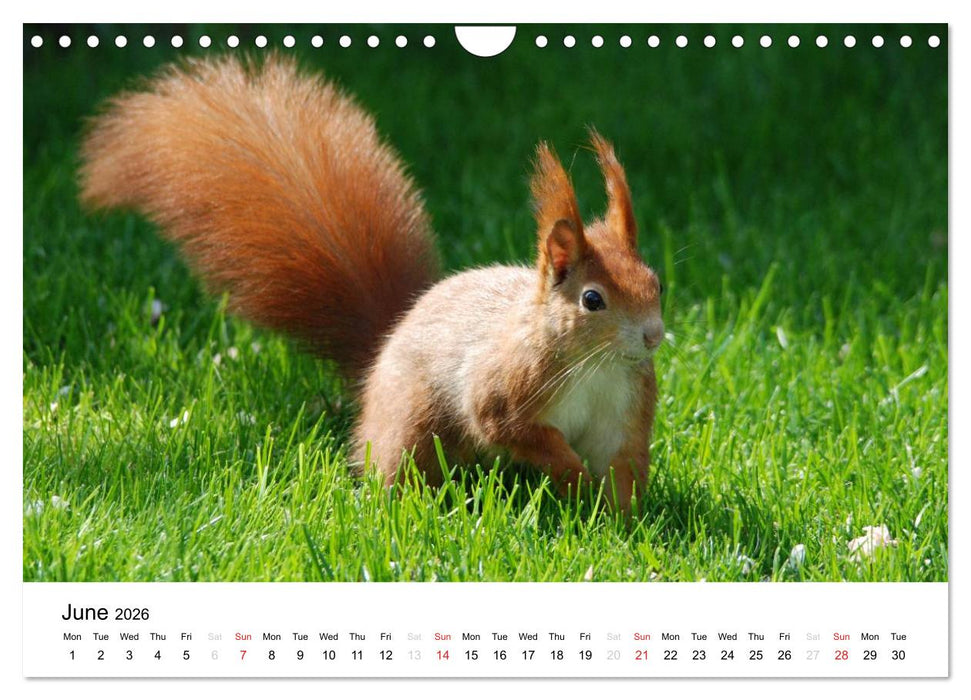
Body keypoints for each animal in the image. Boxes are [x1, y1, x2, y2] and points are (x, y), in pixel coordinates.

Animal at [79, 55, 664, 511]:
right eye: (592, 300)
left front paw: (619, 527)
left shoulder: (624, 410)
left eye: (656, 282)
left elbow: (621, 469)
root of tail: (381, 350)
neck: (595, 365)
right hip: (413, 424)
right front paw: (572, 477)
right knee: (404, 469)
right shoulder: (506, 387)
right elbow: (510, 427)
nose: (654, 336)